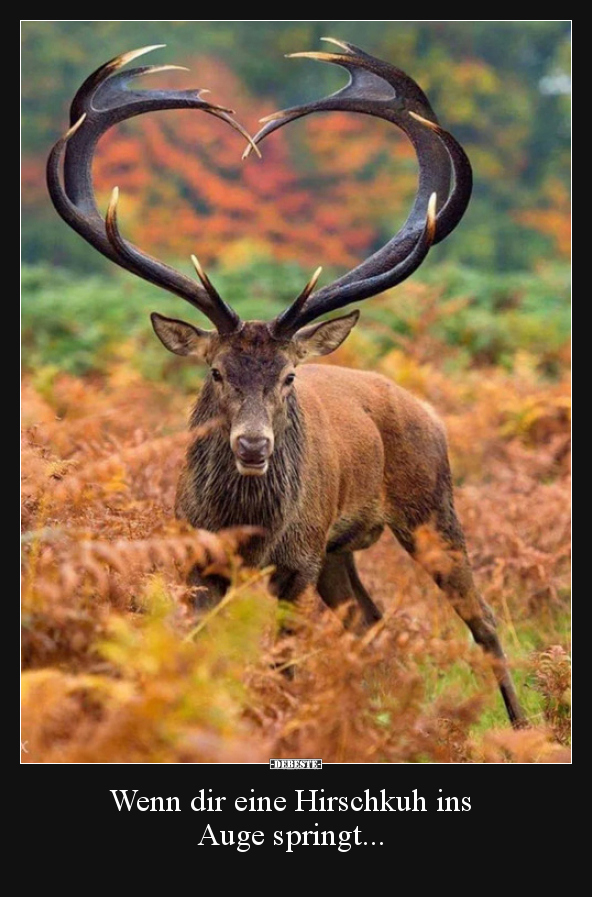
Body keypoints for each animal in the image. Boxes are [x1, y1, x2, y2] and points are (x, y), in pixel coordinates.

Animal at [47, 40, 525, 727]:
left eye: (290, 375)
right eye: (216, 371)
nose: (254, 445)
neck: (248, 528)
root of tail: (427, 411)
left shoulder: (296, 559)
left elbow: (284, 664)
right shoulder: (198, 556)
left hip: (430, 507)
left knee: (481, 618)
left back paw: (522, 726)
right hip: (340, 549)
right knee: (368, 620)